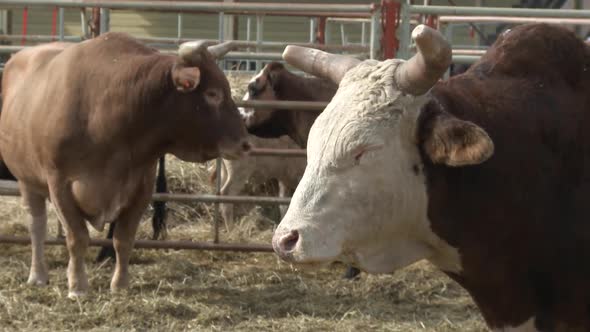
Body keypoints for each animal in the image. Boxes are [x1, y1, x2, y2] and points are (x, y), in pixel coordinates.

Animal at [0, 33, 250, 298]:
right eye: (212, 94)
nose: (246, 144)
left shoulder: (142, 187)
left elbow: (123, 238)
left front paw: (120, 284)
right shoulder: (60, 184)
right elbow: (77, 237)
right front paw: (77, 286)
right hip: (27, 180)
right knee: (37, 226)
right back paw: (38, 274)